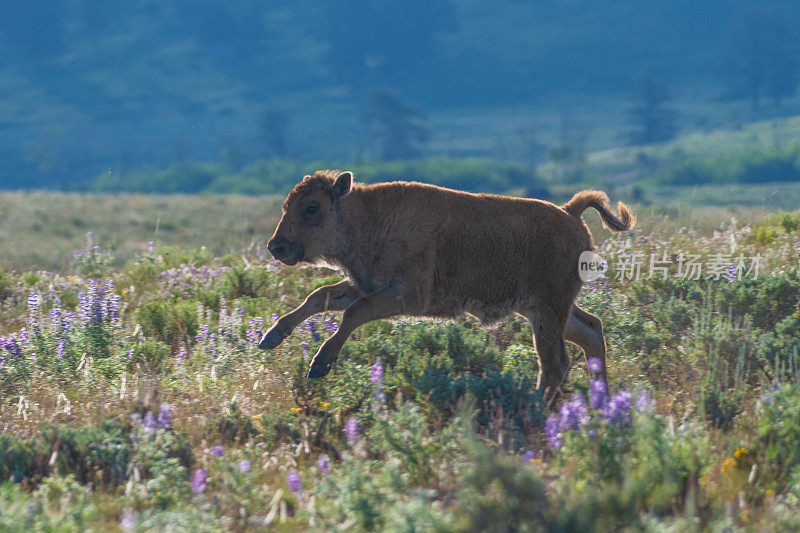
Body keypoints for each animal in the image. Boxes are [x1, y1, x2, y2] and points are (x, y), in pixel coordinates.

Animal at [260, 170, 636, 400]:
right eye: (287, 205)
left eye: (312, 208)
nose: (277, 246)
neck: (369, 217)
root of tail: (570, 213)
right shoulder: (366, 285)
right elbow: (320, 297)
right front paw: (270, 337)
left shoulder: (406, 296)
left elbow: (352, 313)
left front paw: (319, 365)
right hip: (545, 310)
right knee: (590, 332)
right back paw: (600, 402)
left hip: (547, 311)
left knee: (555, 362)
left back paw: (536, 405)